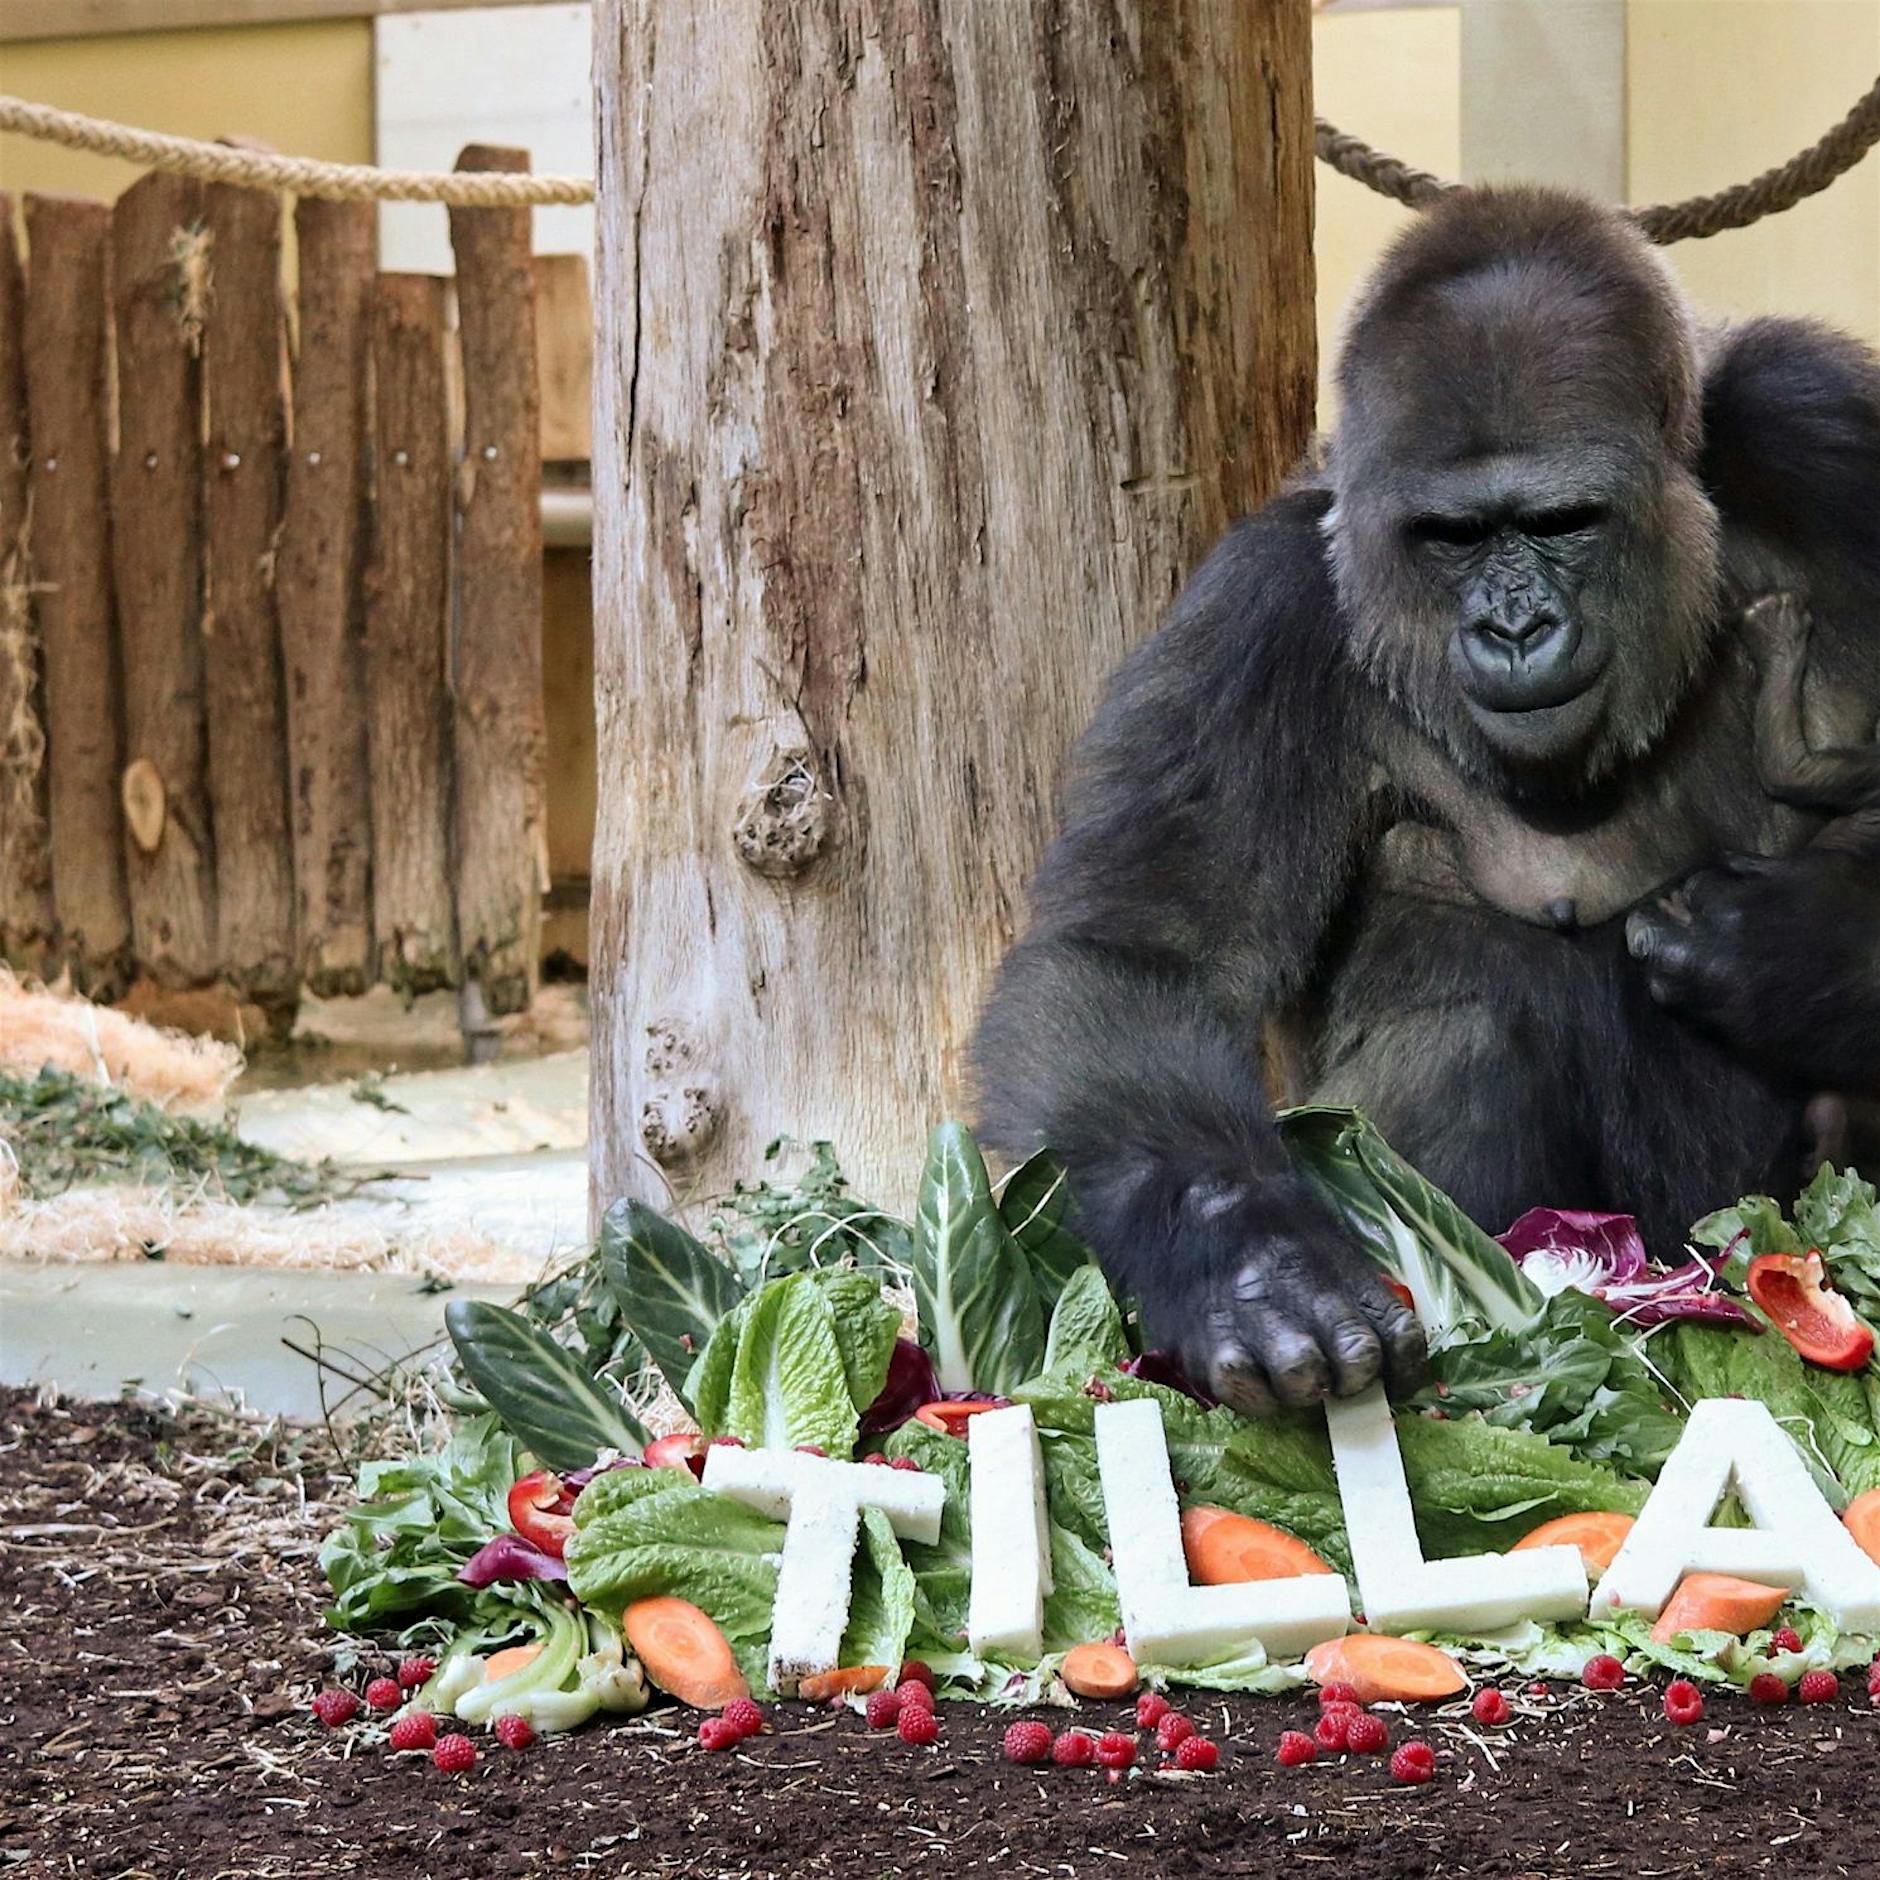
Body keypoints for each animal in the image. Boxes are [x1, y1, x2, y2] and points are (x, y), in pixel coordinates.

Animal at [972, 186, 1880, 1420]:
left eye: (1559, 523)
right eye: (1454, 537)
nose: (1514, 626)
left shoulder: (1823, 433)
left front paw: (1791, 944)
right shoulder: (1261, 610)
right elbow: (1141, 956)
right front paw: (1252, 1264)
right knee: (1473, 1017)